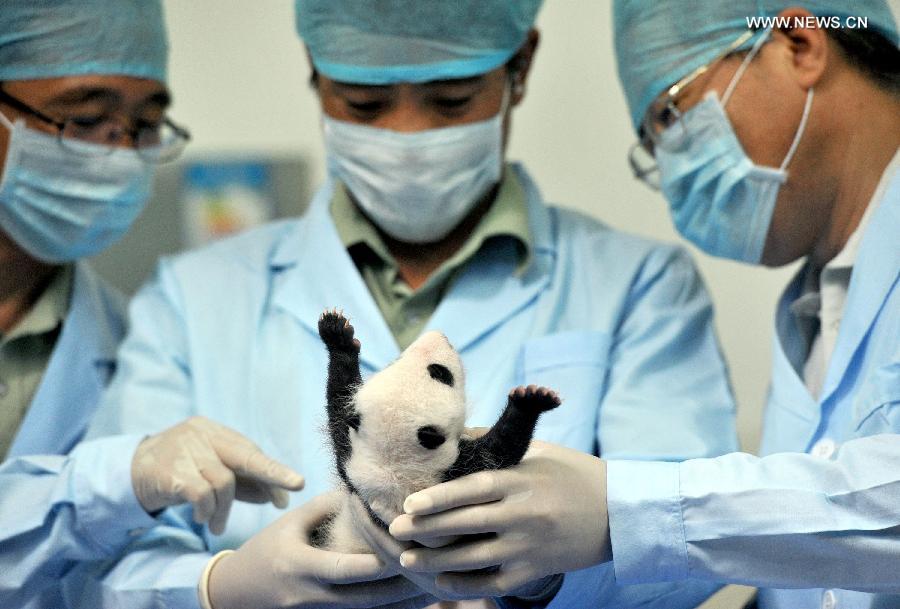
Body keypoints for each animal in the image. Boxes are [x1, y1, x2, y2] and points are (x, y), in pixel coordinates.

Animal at [314, 306, 556, 552]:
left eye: (396, 360)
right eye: (440, 373)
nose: (440, 336)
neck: (392, 465)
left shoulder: (351, 459)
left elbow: (339, 399)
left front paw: (337, 336)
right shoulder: (453, 474)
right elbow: (502, 450)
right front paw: (529, 402)